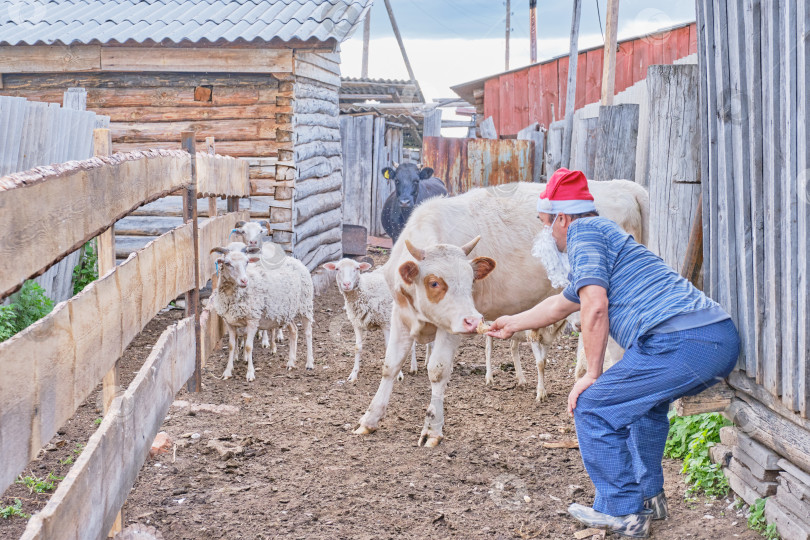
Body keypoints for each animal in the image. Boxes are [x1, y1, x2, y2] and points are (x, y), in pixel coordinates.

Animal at [208, 243, 312, 382]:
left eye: (247, 262)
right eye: (227, 263)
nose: (244, 281)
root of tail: (295, 260)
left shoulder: (253, 320)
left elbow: (248, 346)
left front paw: (250, 373)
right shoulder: (230, 322)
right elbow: (231, 345)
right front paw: (227, 371)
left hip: (305, 303)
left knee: (308, 332)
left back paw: (309, 363)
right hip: (286, 311)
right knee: (294, 331)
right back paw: (291, 362)